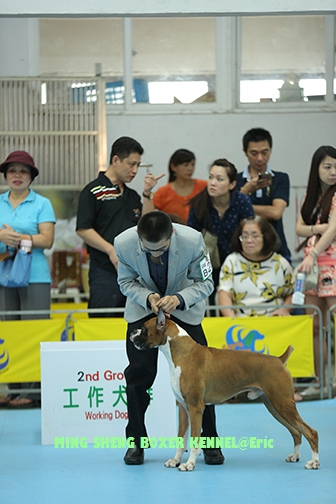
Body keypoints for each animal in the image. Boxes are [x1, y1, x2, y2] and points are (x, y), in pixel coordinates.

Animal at [130, 312, 318, 472]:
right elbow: (181, 438)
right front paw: (175, 460)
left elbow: (194, 439)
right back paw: (295, 456)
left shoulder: (195, 408)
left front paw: (189, 464)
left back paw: (314, 462)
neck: (182, 352)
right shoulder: (183, 408)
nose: (132, 332)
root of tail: (279, 360)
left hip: (283, 404)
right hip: (275, 406)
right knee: (296, 431)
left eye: (144, 329)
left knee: (310, 432)